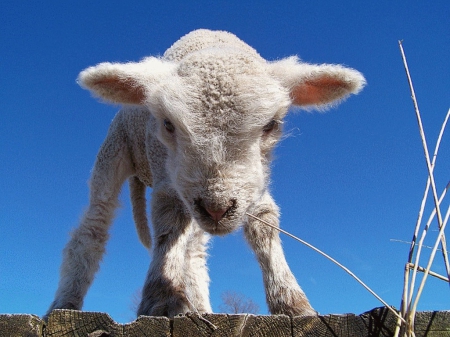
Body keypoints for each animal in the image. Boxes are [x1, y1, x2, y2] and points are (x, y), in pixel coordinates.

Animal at [44, 28, 366, 318]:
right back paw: (65, 303)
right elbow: (169, 223)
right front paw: (162, 299)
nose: (217, 208)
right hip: (114, 152)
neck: (212, 44)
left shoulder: (253, 181)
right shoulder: (167, 176)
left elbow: (263, 222)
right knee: (94, 226)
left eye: (271, 125)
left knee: (195, 253)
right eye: (167, 124)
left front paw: (292, 302)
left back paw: (200, 306)